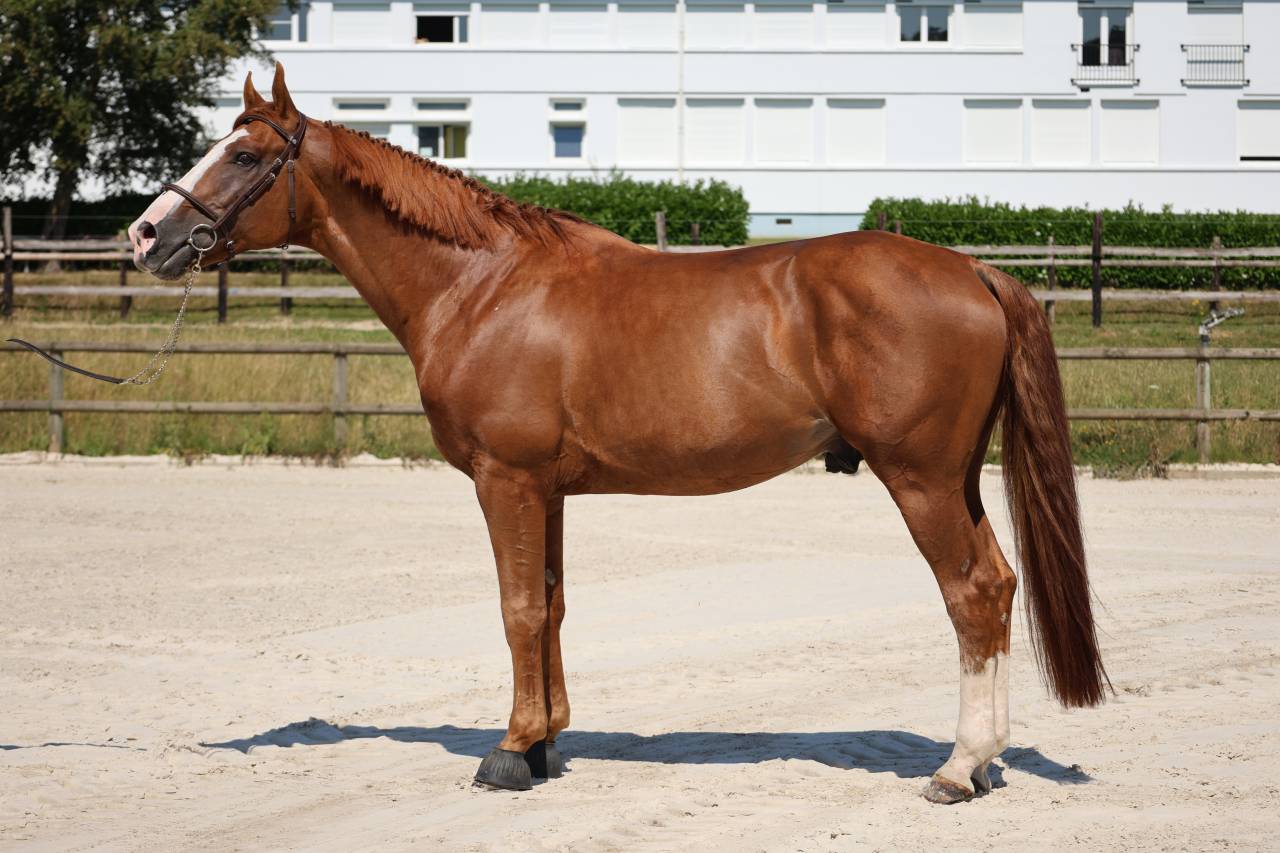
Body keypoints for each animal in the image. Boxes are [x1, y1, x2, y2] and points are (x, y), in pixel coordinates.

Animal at [127, 64, 1107, 803]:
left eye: (243, 153)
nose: (145, 235)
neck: (482, 285)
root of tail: (972, 269)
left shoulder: (506, 479)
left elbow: (517, 608)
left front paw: (508, 750)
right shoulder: (548, 489)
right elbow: (552, 604)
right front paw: (543, 744)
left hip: (920, 478)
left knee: (970, 593)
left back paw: (956, 768)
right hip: (958, 478)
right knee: (1000, 583)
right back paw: (988, 762)